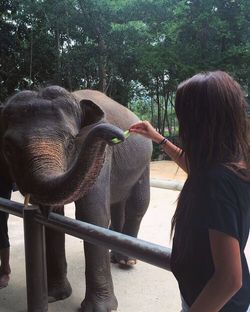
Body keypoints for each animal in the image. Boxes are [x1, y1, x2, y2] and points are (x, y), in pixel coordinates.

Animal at [0, 86, 152, 312]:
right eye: (8, 148)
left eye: (71, 142)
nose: (117, 136)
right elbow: (53, 221)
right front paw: (55, 296)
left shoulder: (102, 157)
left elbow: (92, 215)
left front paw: (99, 309)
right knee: (117, 204)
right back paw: (114, 257)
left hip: (145, 162)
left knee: (138, 204)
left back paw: (126, 262)